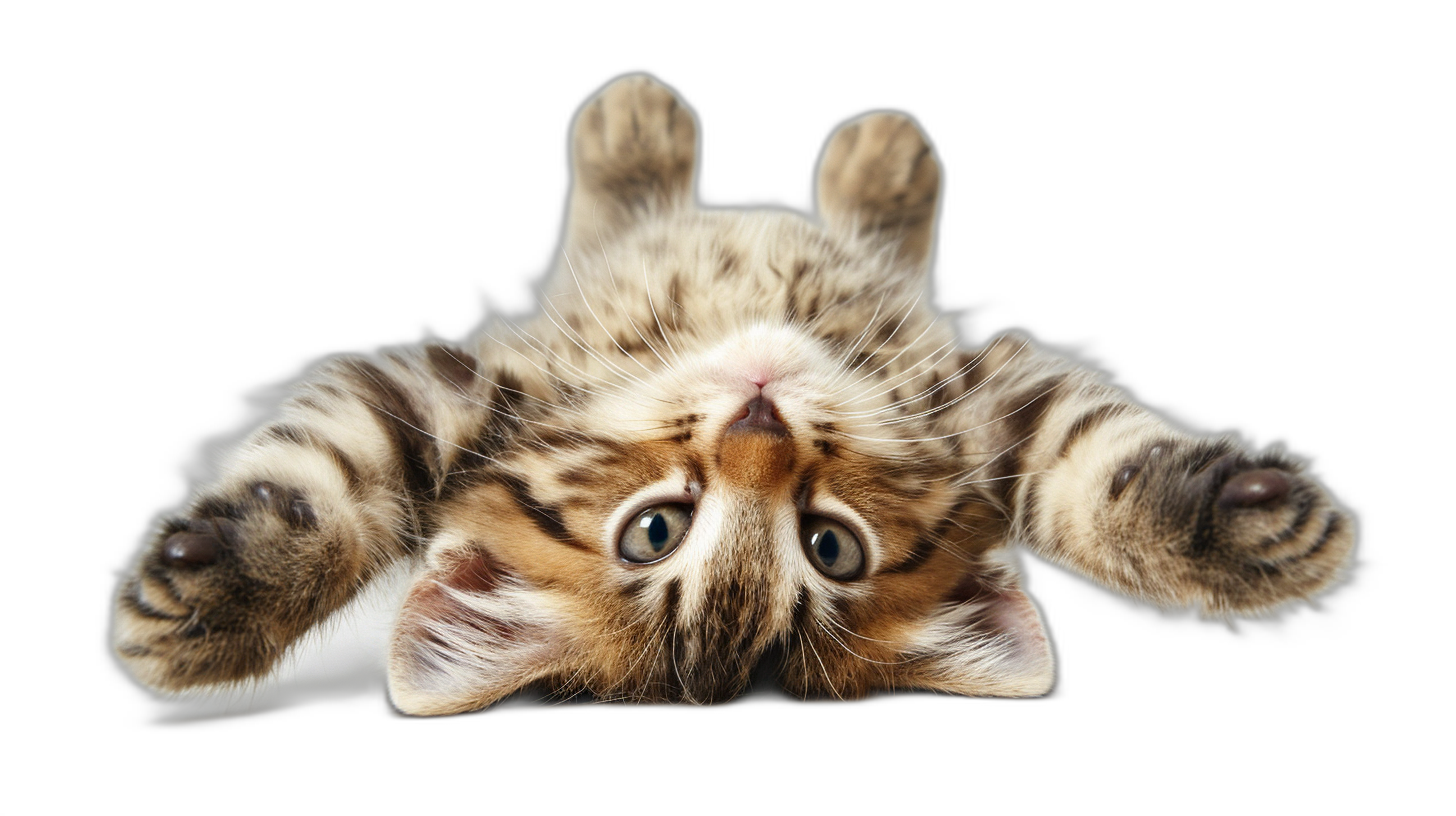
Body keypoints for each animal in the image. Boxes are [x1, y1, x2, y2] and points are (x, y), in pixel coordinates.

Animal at [110, 75, 1351, 714]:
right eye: (656, 529)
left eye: (830, 546)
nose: (760, 416)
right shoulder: (469, 390)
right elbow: (334, 472)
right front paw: (212, 599)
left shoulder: (975, 404)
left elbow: (1097, 473)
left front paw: (1252, 532)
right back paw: (653, 116)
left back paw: (861, 146)